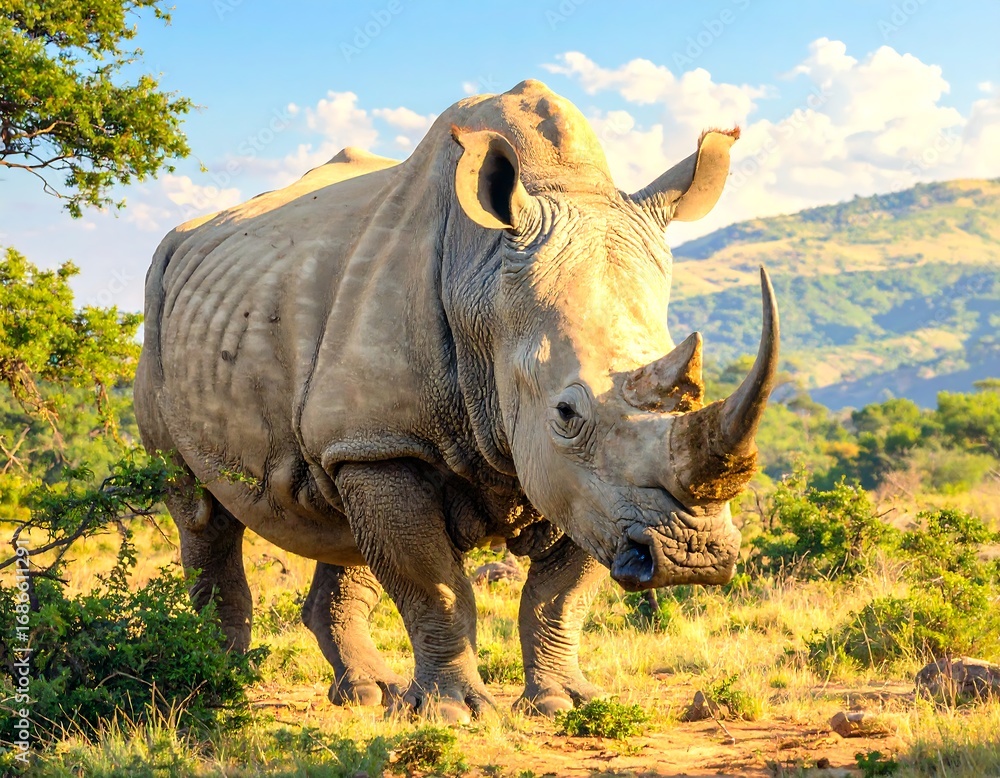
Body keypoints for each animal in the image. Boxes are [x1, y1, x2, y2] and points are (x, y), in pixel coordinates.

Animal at [134, 79, 779, 722]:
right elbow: (434, 584)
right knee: (199, 511)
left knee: (337, 516)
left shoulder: (587, 489)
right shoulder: (393, 442)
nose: (692, 554)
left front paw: (564, 703)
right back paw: (220, 686)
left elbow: (559, 594)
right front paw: (453, 713)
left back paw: (368, 694)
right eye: (567, 414)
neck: (485, 284)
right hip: (161, 308)